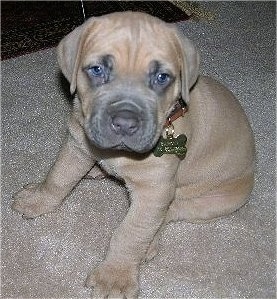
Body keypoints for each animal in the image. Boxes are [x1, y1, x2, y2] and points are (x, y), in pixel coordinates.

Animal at [12, 11, 254, 298]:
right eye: (97, 70)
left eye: (161, 77)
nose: (125, 123)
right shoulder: (76, 145)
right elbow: (58, 177)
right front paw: (37, 200)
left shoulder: (154, 190)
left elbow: (131, 232)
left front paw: (114, 277)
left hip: (217, 199)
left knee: (169, 213)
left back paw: (150, 244)